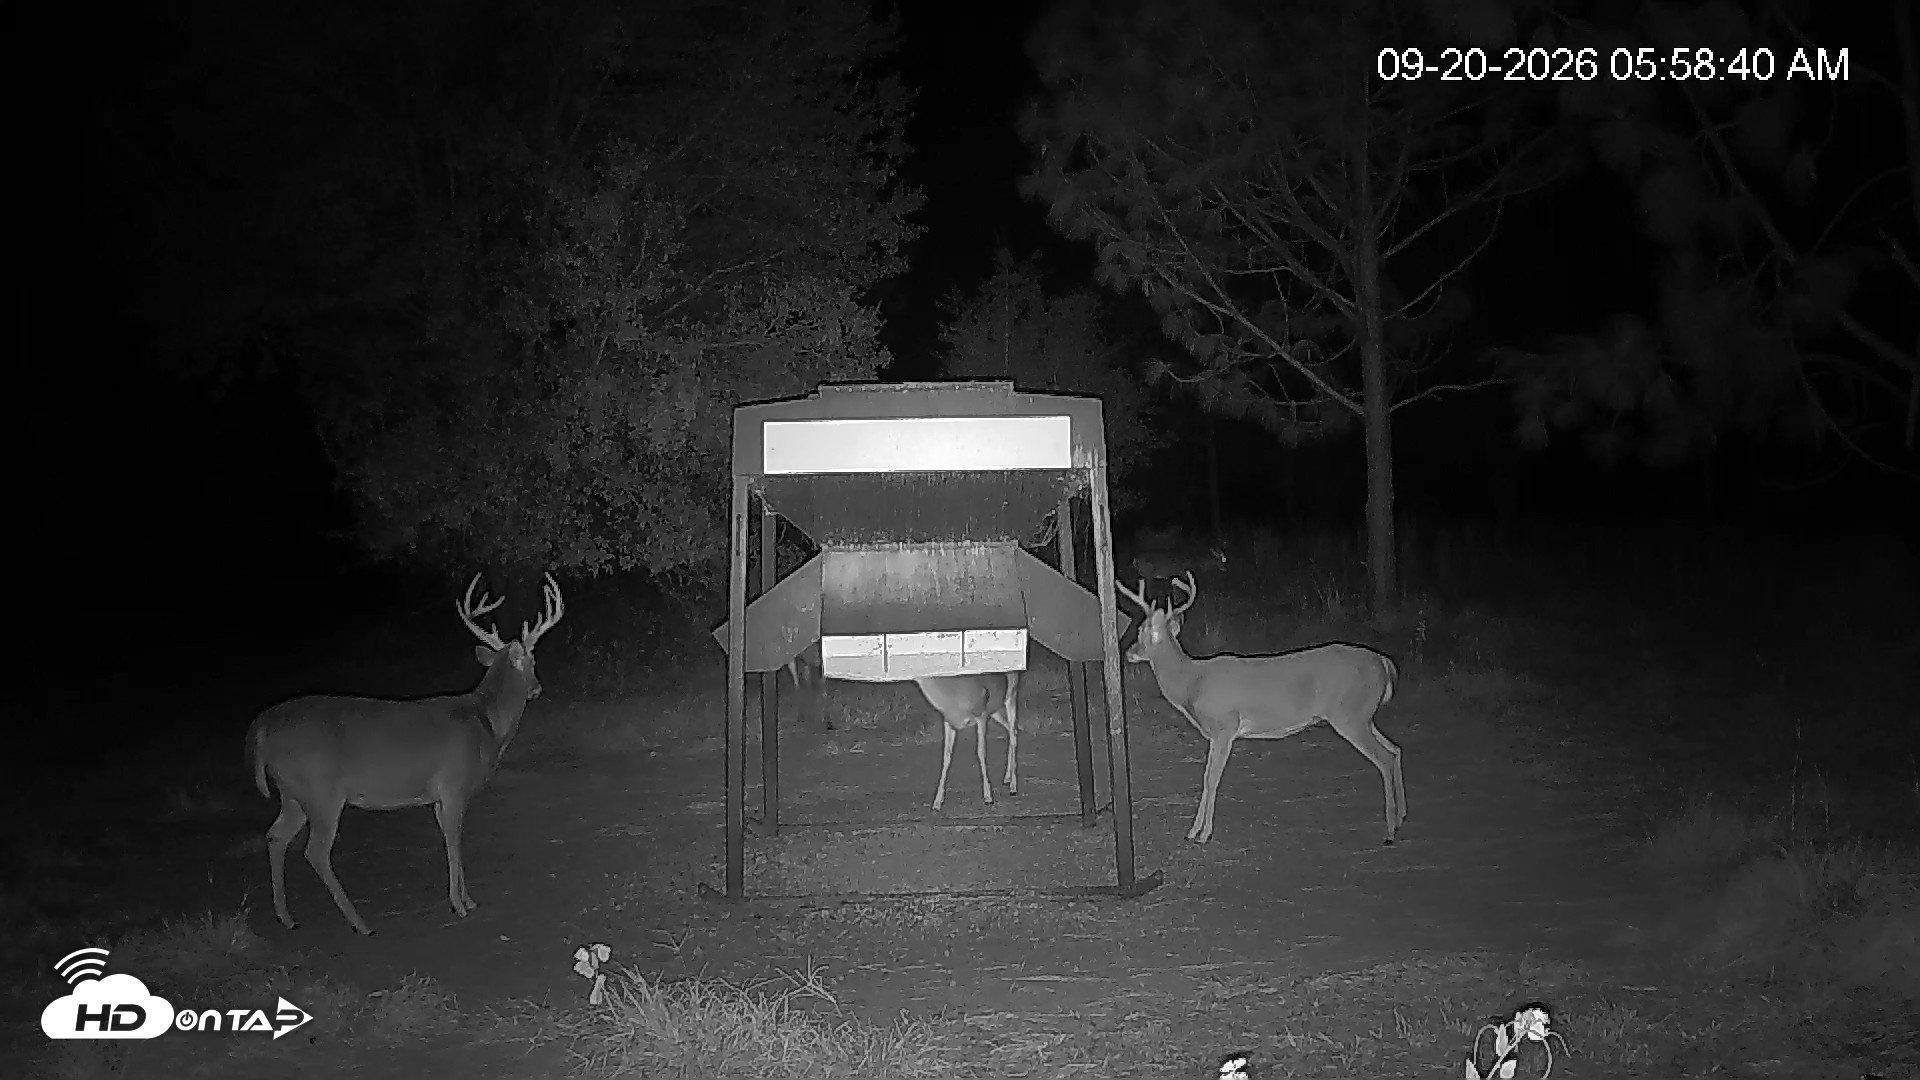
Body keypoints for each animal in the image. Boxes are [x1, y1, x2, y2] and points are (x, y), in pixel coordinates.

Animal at [246, 571, 564, 935]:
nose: (537, 688)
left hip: (293, 792)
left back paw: (287, 917)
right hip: (320, 790)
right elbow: (455, 843)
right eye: (530, 661)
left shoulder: (439, 798)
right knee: (315, 851)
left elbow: (451, 842)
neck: (487, 724)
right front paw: (459, 905)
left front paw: (468, 899)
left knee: (275, 836)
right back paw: (360, 923)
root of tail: (260, 728)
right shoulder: (454, 786)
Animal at [914, 673, 1021, 812]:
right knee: (1011, 730)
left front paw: (988, 797)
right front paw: (937, 802)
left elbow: (981, 752)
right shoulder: (949, 722)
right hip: (996, 710)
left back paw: (1013, 786)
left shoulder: (981, 714)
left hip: (1011, 695)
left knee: (1013, 731)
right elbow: (946, 757)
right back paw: (1007, 777)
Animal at [1115, 572, 1404, 845]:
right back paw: (1401, 818)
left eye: (1141, 632)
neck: (1192, 683)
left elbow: (1211, 778)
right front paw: (1194, 831)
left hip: (1349, 715)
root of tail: (1384, 662)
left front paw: (1202, 833)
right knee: (1395, 749)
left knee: (1385, 758)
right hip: (1364, 715)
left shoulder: (1224, 727)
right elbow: (1208, 777)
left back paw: (1389, 831)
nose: (1128, 652)